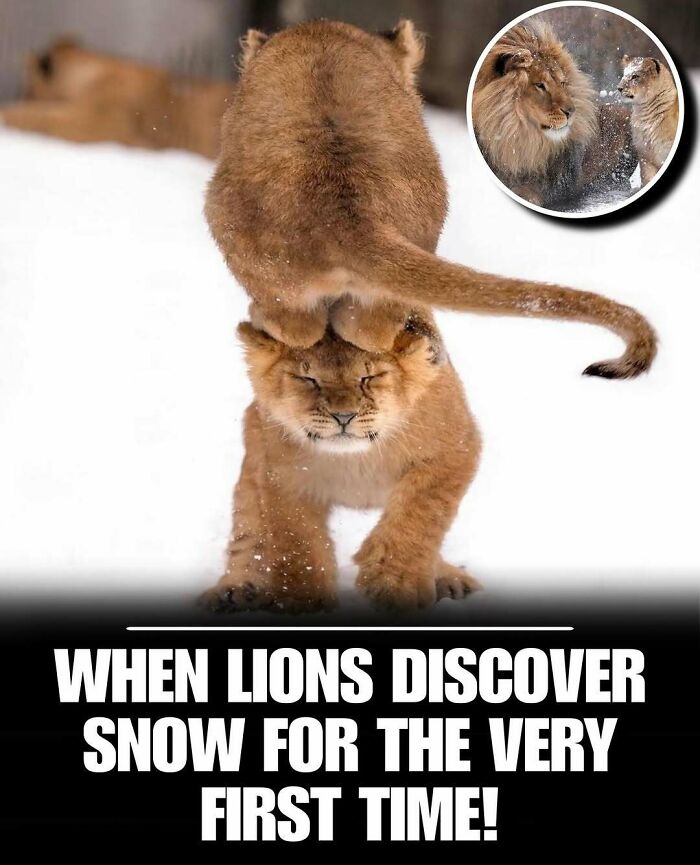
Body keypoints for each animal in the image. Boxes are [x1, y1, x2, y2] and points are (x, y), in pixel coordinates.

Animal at [201, 303, 482, 613]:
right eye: (308, 379)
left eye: (369, 378)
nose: (343, 416)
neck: (356, 459)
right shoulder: (285, 475)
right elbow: (298, 543)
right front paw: (304, 603)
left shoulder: (453, 450)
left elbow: (417, 518)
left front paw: (393, 582)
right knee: (248, 529)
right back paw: (234, 590)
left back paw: (450, 579)